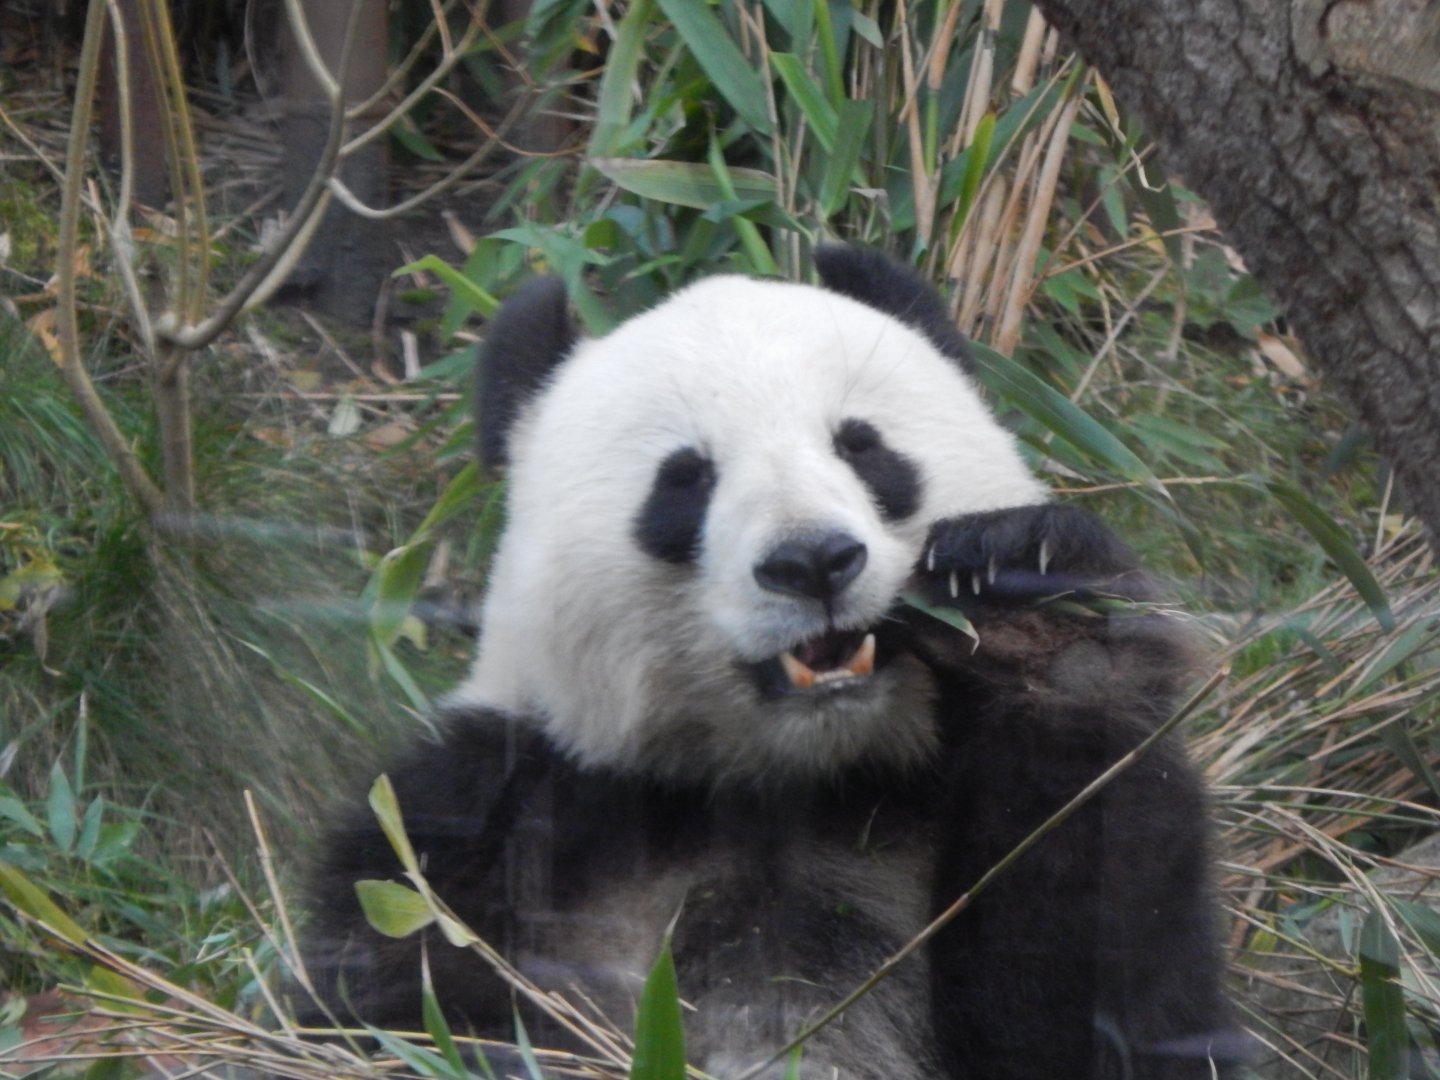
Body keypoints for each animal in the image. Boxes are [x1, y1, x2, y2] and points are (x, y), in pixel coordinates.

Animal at [301, 246, 1238, 1078]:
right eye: (685, 478)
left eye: (861, 445)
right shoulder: (496, 826)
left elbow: (1103, 1001)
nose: (813, 561)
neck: (791, 778)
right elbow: (415, 1006)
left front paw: (1024, 603)